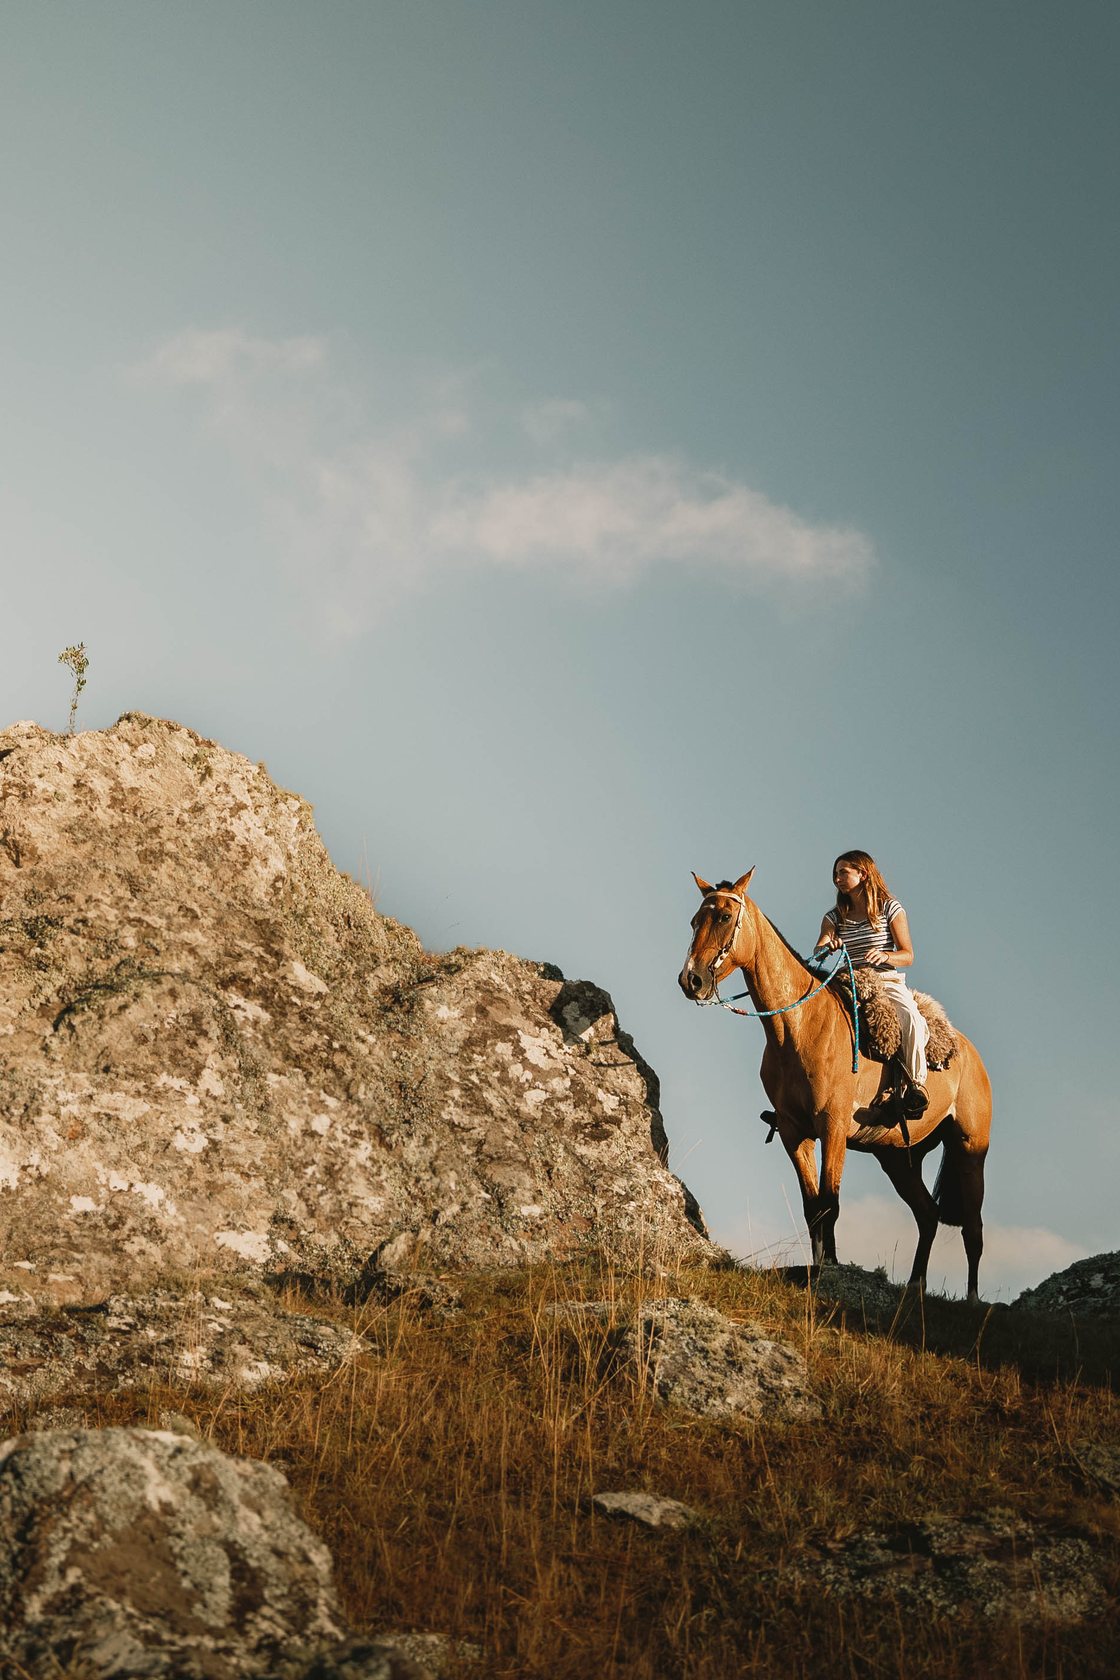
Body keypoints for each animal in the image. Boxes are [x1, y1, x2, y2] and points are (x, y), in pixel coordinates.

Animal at [678, 869, 991, 1302]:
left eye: (724, 916)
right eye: (694, 921)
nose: (690, 979)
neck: (799, 1027)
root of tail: (970, 1054)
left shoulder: (833, 1127)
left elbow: (831, 1203)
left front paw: (830, 1269)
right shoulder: (795, 1132)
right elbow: (813, 1207)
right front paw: (821, 1265)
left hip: (969, 1149)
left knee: (973, 1227)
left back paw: (974, 1300)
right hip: (897, 1158)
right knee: (928, 1214)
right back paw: (915, 1286)